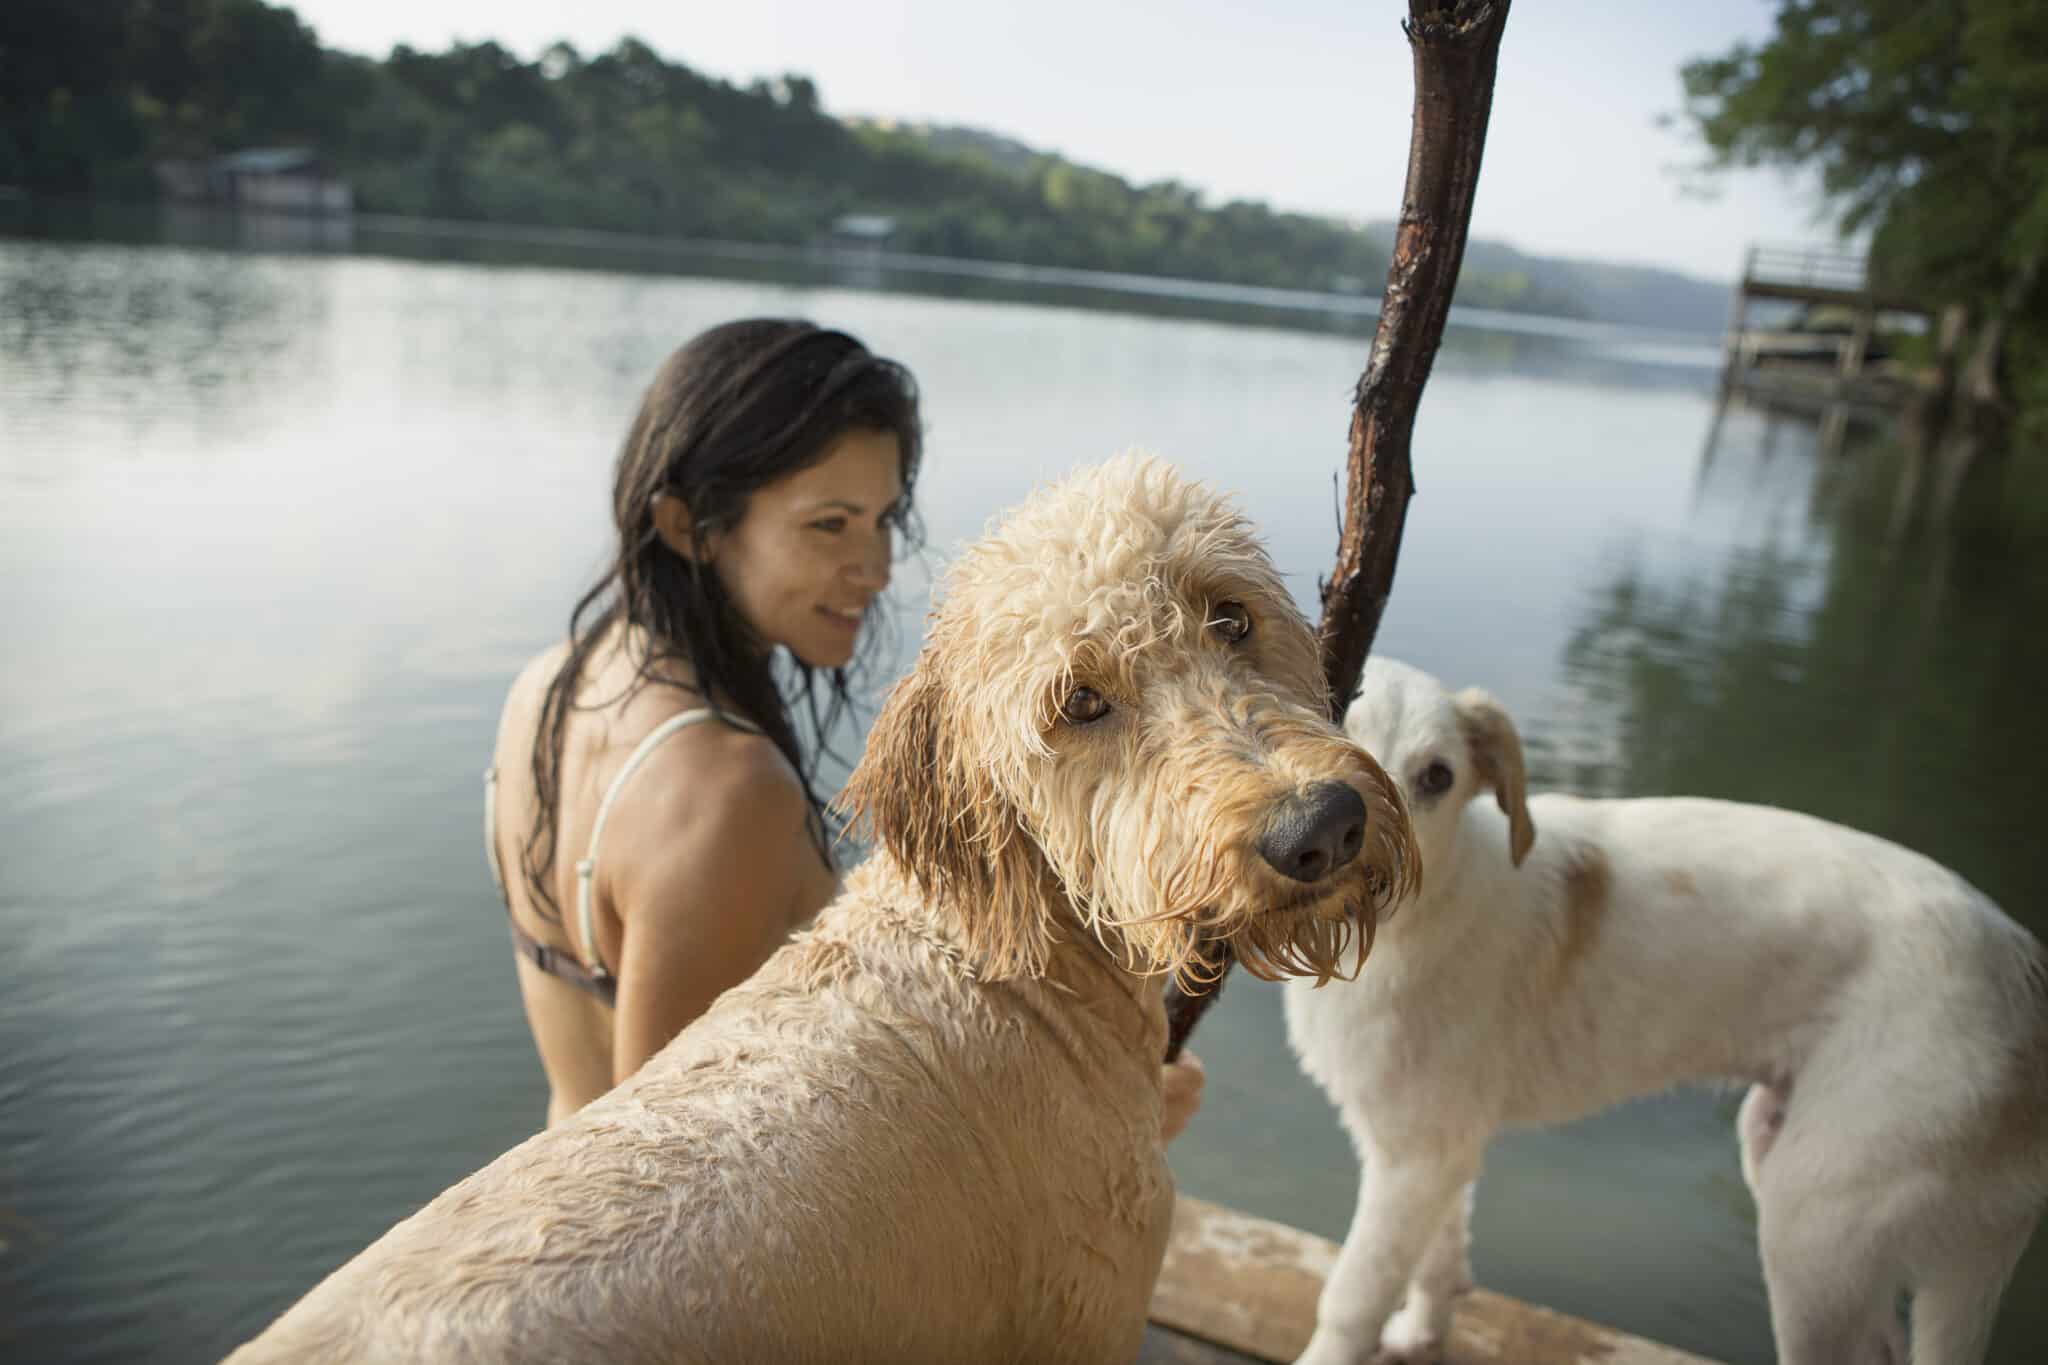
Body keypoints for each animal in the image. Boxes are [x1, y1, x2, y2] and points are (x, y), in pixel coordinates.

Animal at [1286, 658, 2039, 1365]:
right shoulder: (1433, 1144)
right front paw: (1420, 1335)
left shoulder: (1411, 1161)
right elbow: (1437, 1259)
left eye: (1437, 776)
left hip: (1815, 1224)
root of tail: (2020, 972)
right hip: (1787, 1159)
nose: (1356, 850)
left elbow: (1354, 1294)